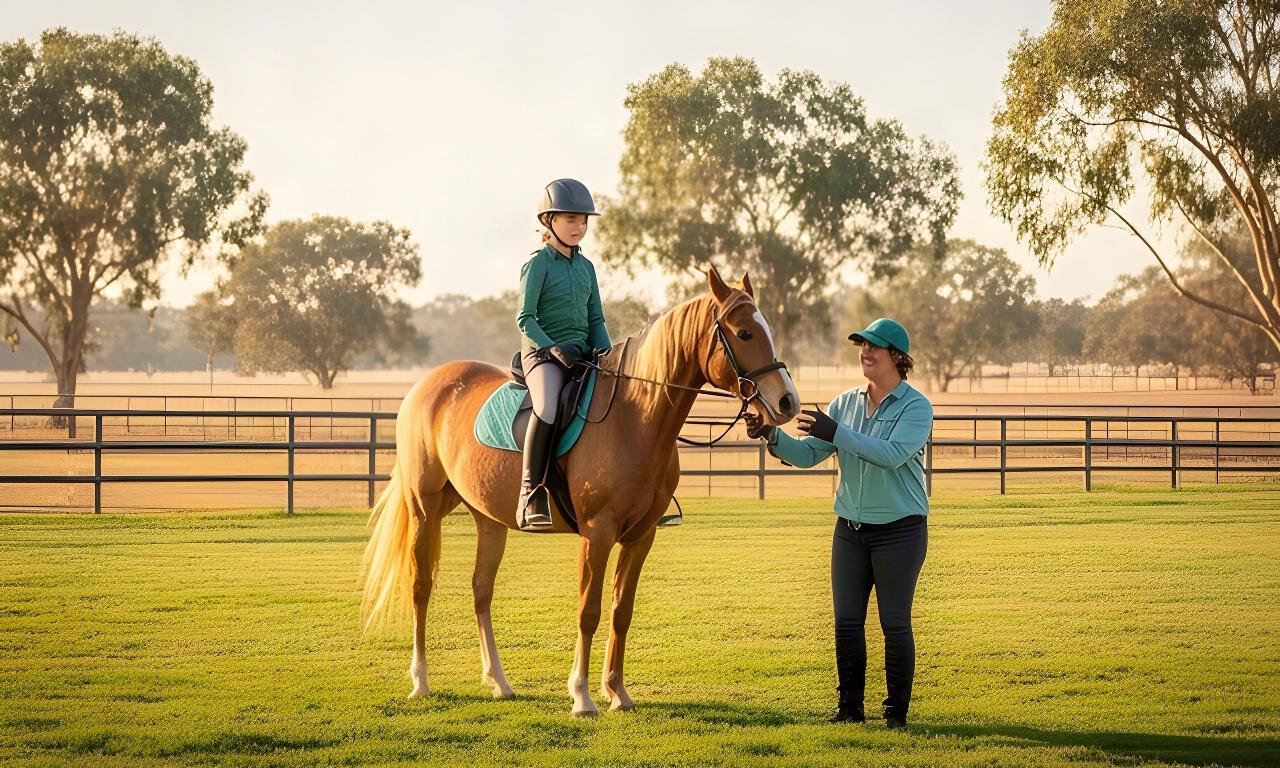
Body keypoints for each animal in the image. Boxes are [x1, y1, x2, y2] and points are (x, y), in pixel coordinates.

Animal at [362, 265, 800, 716]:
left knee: (481, 591)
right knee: (421, 587)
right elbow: (589, 611)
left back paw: (499, 682)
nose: (787, 402)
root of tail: (427, 385)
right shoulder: (597, 532)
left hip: (488, 519)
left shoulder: (641, 537)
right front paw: (582, 696)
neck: (632, 417)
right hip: (425, 508)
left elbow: (621, 611)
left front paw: (618, 692)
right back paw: (420, 682)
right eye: (744, 333)